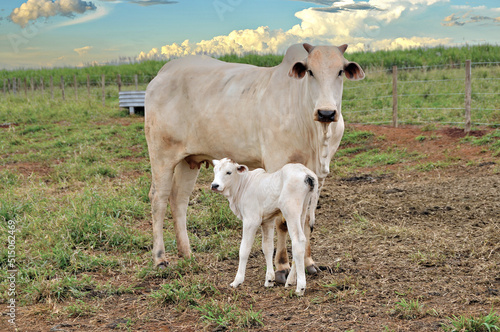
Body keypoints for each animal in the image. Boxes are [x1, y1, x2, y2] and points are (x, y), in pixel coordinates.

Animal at [145, 42, 364, 280]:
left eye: (340, 71)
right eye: (310, 71)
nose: (326, 113)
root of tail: (163, 73)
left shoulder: (317, 177)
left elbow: (306, 219)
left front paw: (307, 263)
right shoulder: (278, 164)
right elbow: (283, 222)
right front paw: (282, 267)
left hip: (188, 160)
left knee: (179, 199)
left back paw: (187, 253)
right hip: (161, 155)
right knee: (158, 199)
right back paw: (160, 258)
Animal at [211, 158, 320, 296]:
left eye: (228, 172)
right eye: (215, 170)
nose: (214, 185)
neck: (244, 185)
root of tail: (306, 172)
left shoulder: (251, 221)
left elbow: (244, 250)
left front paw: (237, 281)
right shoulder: (267, 221)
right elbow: (268, 248)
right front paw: (269, 280)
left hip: (291, 211)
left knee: (298, 240)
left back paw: (300, 287)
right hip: (303, 210)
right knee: (303, 239)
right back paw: (290, 281)